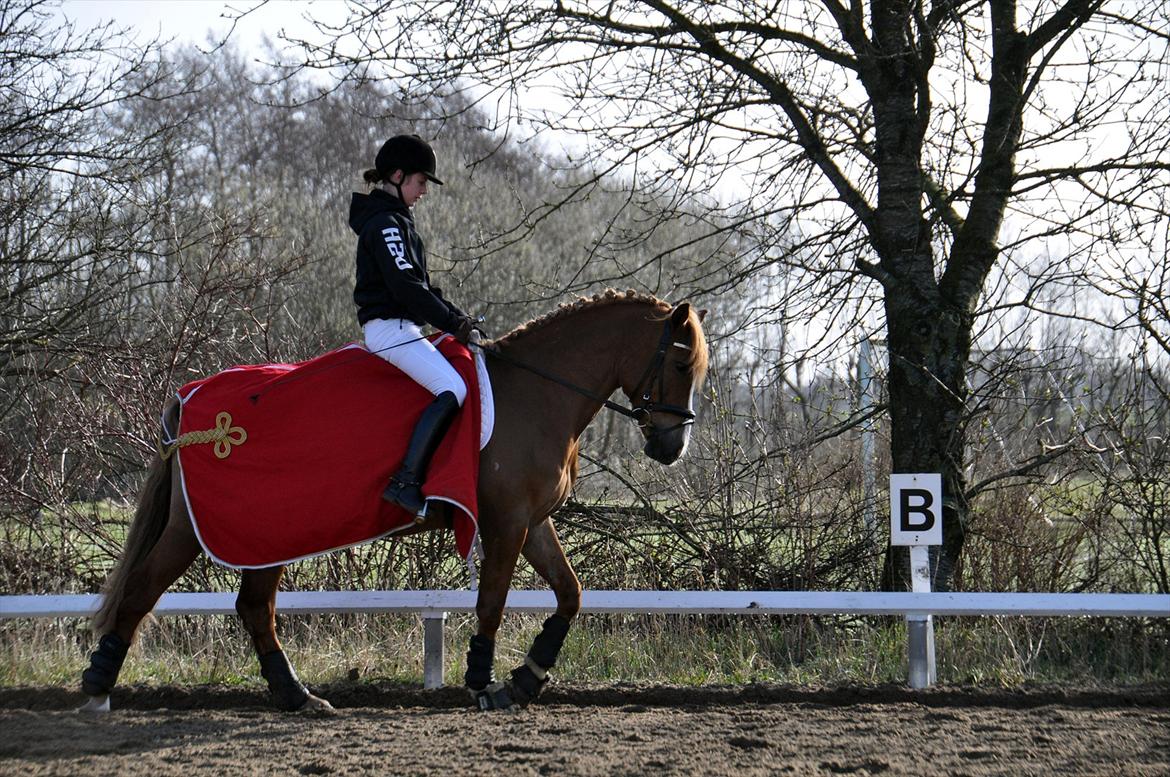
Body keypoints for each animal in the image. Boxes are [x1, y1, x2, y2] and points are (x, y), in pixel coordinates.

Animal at [80, 287, 711, 711]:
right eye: (682, 362)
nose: (672, 447)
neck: (537, 392)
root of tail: (190, 398)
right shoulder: (506, 522)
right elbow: (492, 602)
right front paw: (483, 684)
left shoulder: (532, 521)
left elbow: (570, 594)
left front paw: (527, 678)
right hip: (203, 529)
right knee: (143, 591)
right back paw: (97, 688)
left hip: (268, 533)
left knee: (254, 607)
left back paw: (297, 697)